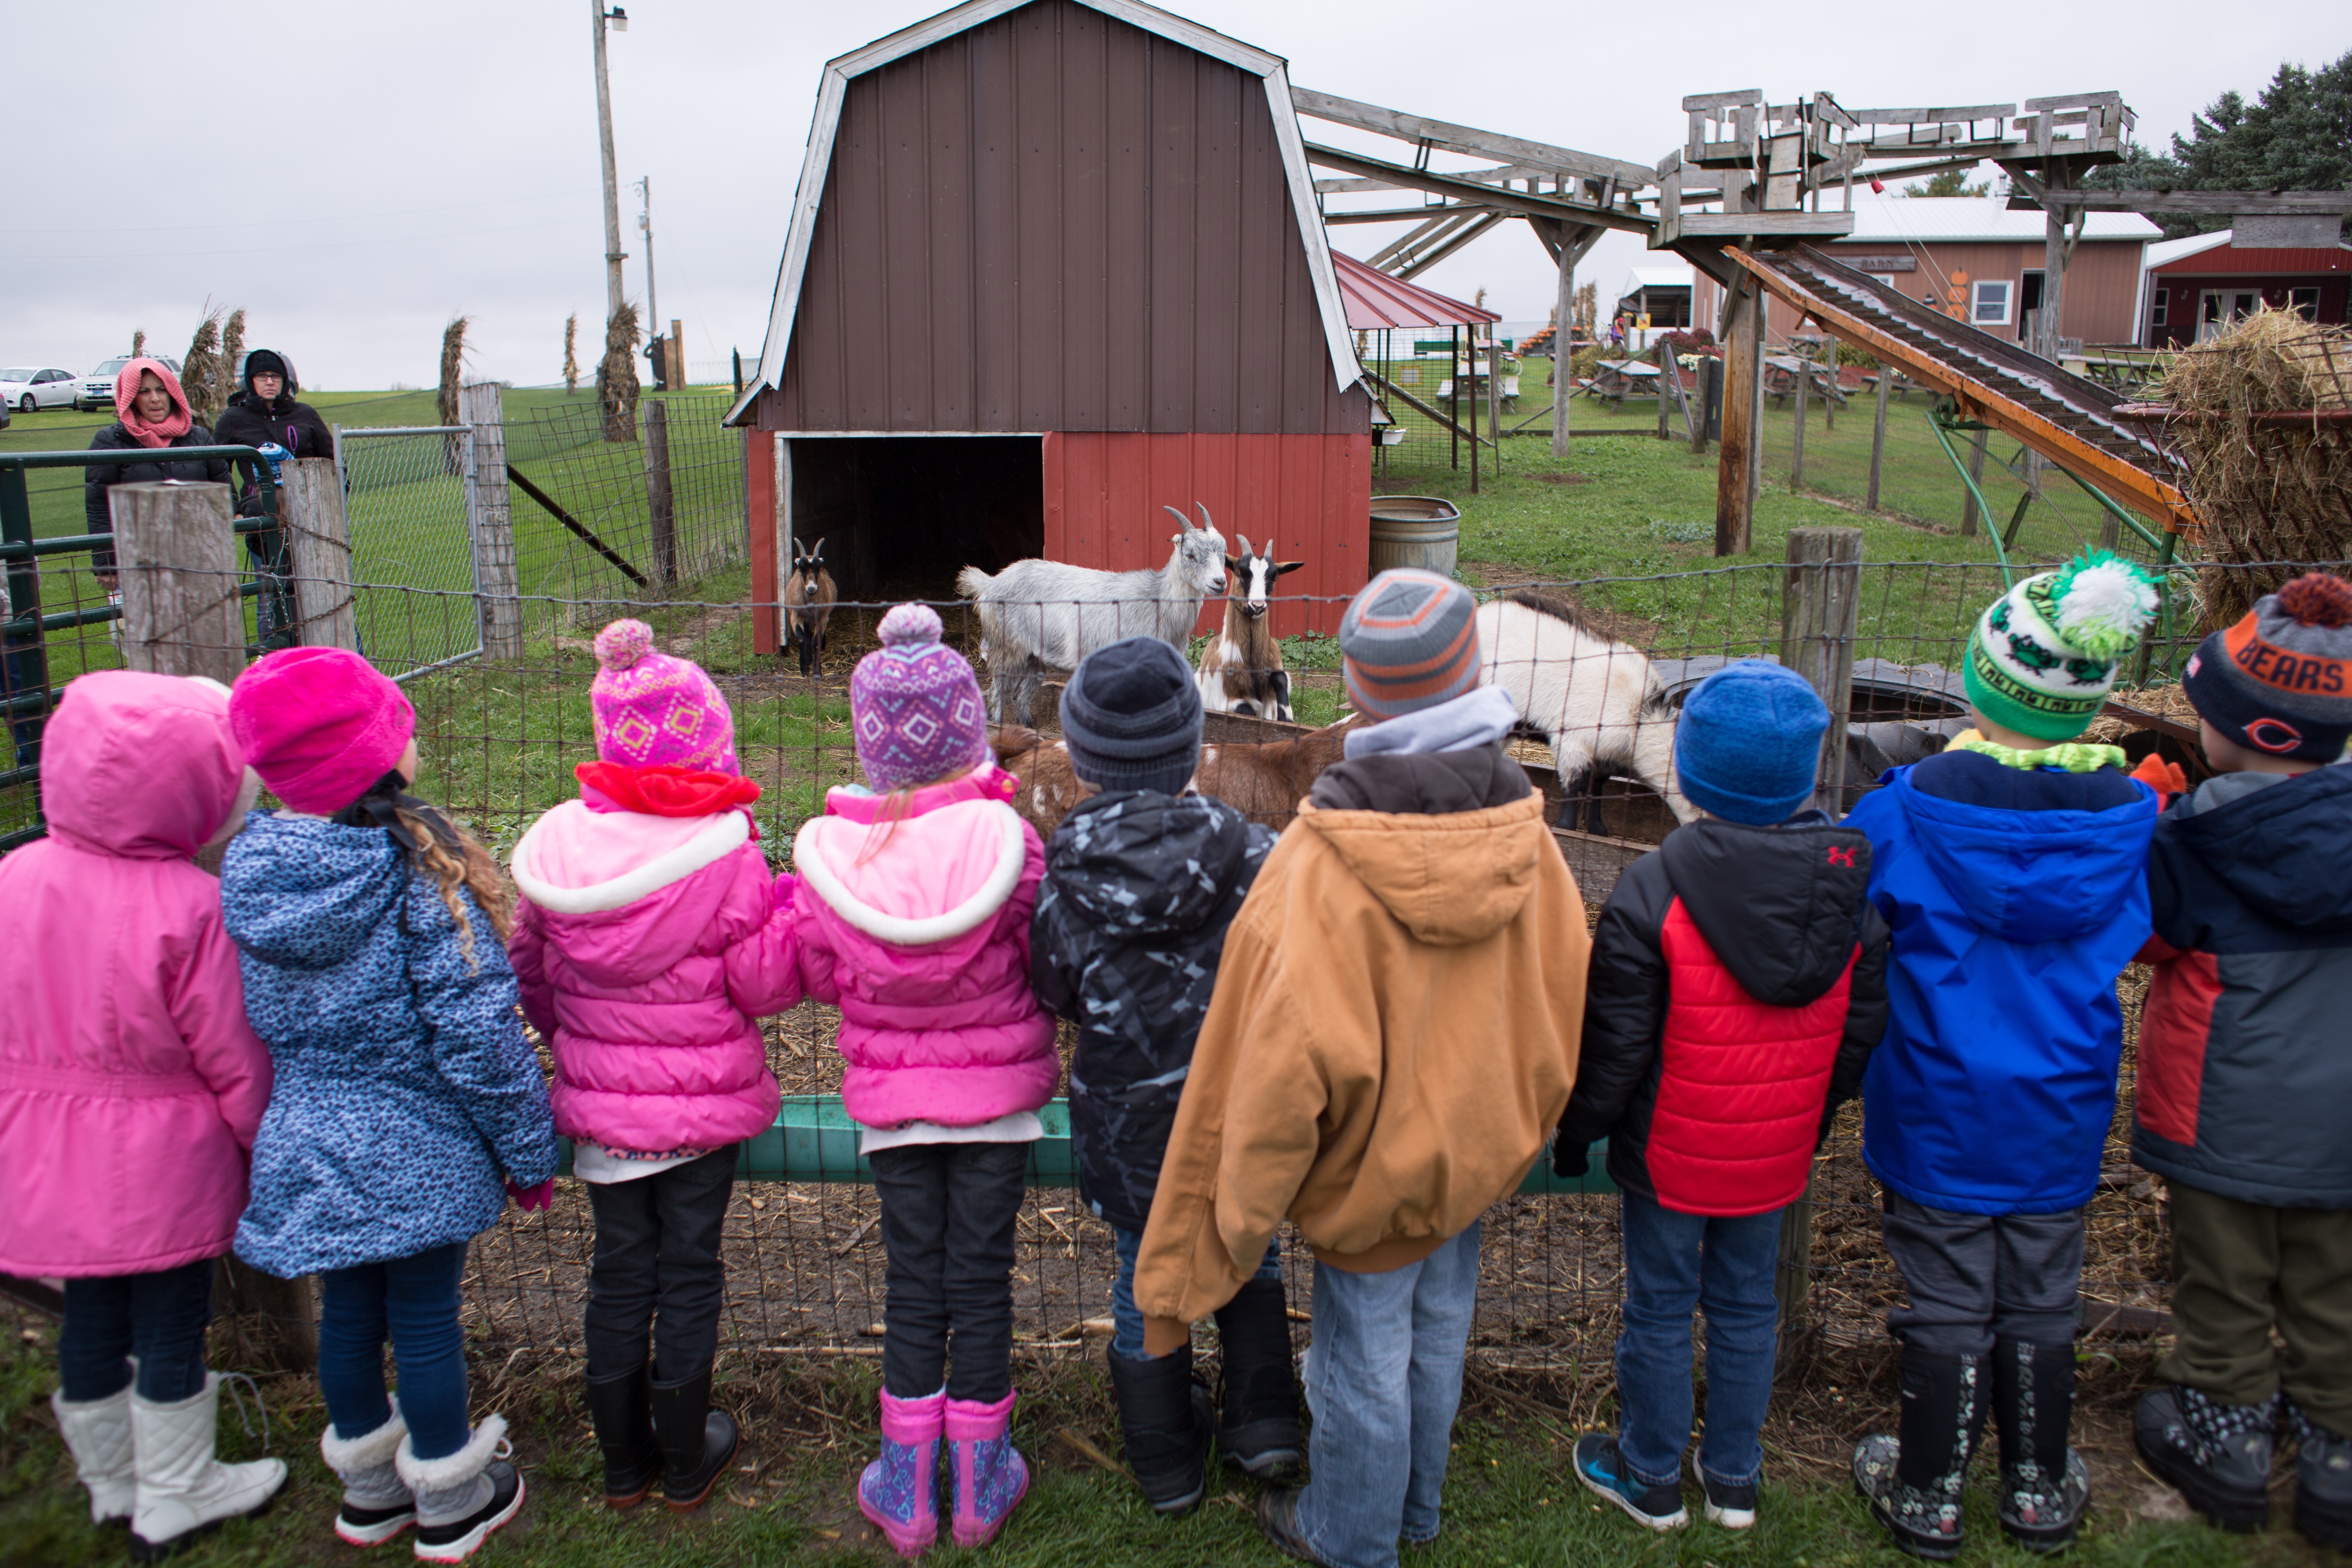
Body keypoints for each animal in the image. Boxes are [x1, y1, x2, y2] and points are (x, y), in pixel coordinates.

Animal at [781, 541, 837, 677]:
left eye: (819, 568)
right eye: (801, 569)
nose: (812, 588)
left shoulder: (823, 617)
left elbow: (816, 642)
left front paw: (817, 671)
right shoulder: (796, 616)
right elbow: (802, 638)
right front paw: (805, 668)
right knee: (807, 634)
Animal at [950, 503, 1232, 724]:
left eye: (1223, 552)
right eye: (1190, 554)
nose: (1220, 582)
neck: (1157, 599)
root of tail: (991, 584)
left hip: (1035, 656)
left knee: (1021, 695)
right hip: (1007, 647)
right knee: (997, 692)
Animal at [1195, 531, 1307, 719]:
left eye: (1274, 578)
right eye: (1240, 573)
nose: (1257, 606)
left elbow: (1281, 680)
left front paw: (1286, 716)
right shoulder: (1228, 701)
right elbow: (1245, 710)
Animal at [1468, 588, 1693, 827]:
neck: (1639, 717)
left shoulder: (1605, 759)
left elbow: (1597, 788)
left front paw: (1596, 827)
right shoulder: (1574, 745)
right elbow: (1575, 789)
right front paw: (1566, 827)